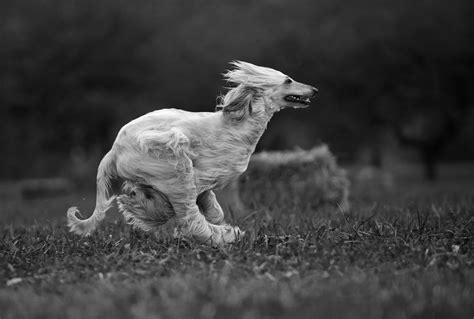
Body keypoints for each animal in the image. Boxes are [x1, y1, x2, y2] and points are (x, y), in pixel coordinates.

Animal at [66, 61, 316, 246]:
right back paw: (227, 236)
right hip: (173, 164)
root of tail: (113, 152)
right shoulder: (200, 174)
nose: (315, 90)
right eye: (288, 80)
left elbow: (212, 208)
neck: (239, 125)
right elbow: (196, 208)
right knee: (189, 218)